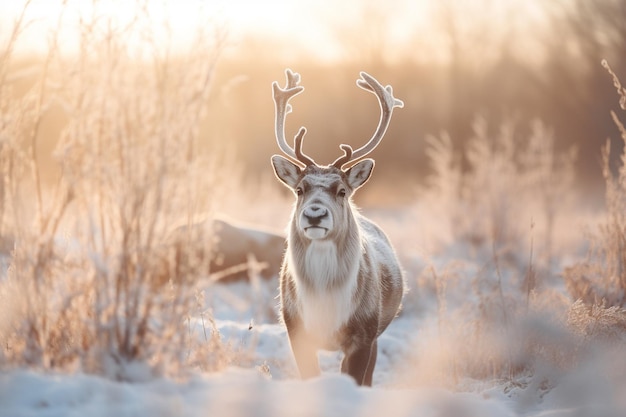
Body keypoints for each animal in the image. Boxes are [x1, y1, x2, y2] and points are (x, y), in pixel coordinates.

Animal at [268, 69, 404, 386]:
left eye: (341, 190)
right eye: (299, 189)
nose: (315, 214)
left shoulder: (364, 334)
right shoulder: (295, 329)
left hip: (376, 333)